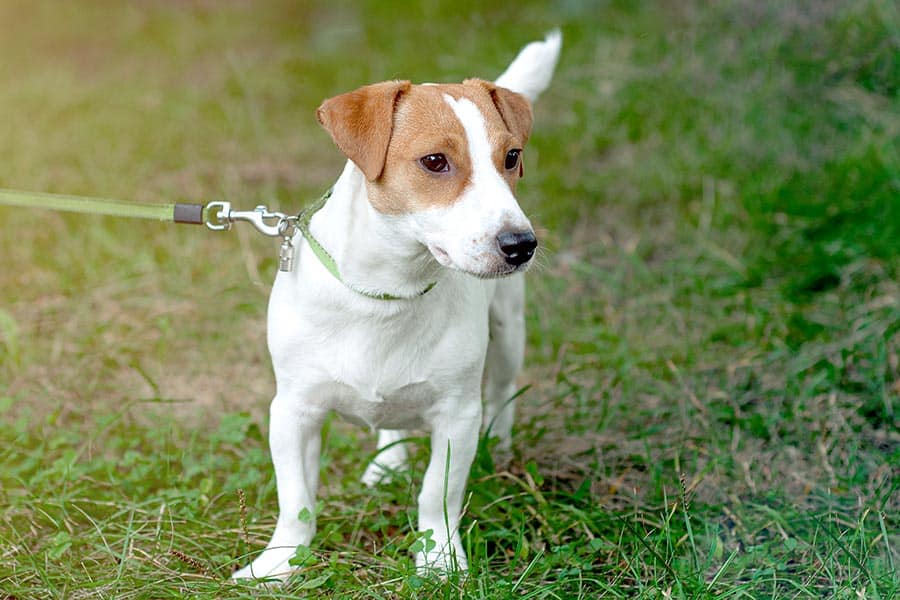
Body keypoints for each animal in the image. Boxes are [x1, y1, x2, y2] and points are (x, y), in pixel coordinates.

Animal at [232, 29, 560, 580]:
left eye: (512, 157)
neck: (389, 295)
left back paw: (501, 446)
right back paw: (388, 461)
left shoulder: (457, 415)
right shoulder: (294, 409)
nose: (521, 245)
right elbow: (296, 499)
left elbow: (437, 494)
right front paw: (280, 563)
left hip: (509, 332)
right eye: (435, 161)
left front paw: (440, 560)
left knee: (502, 391)